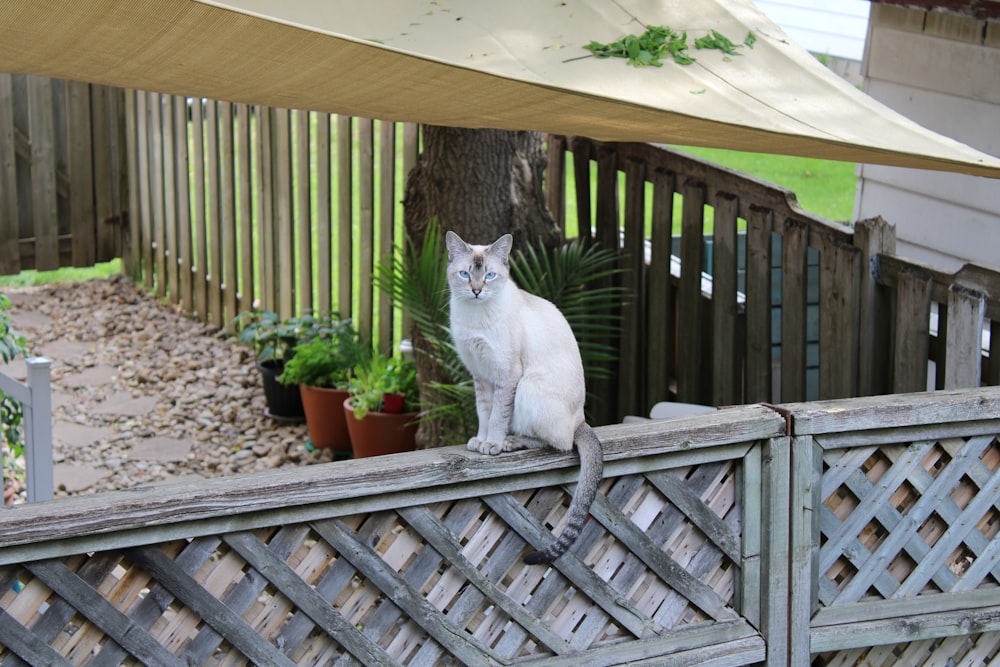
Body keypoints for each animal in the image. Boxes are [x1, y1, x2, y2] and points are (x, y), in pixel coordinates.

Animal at [446, 232, 600, 568]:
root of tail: (582, 419)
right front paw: (479, 442)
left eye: (489, 275)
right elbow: (483, 414)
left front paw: (491, 444)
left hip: (529, 385)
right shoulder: (481, 377)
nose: (476, 291)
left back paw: (509, 443)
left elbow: (497, 417)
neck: (475, 316)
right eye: (465, 274)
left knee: (559, 443)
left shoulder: (507, 375)